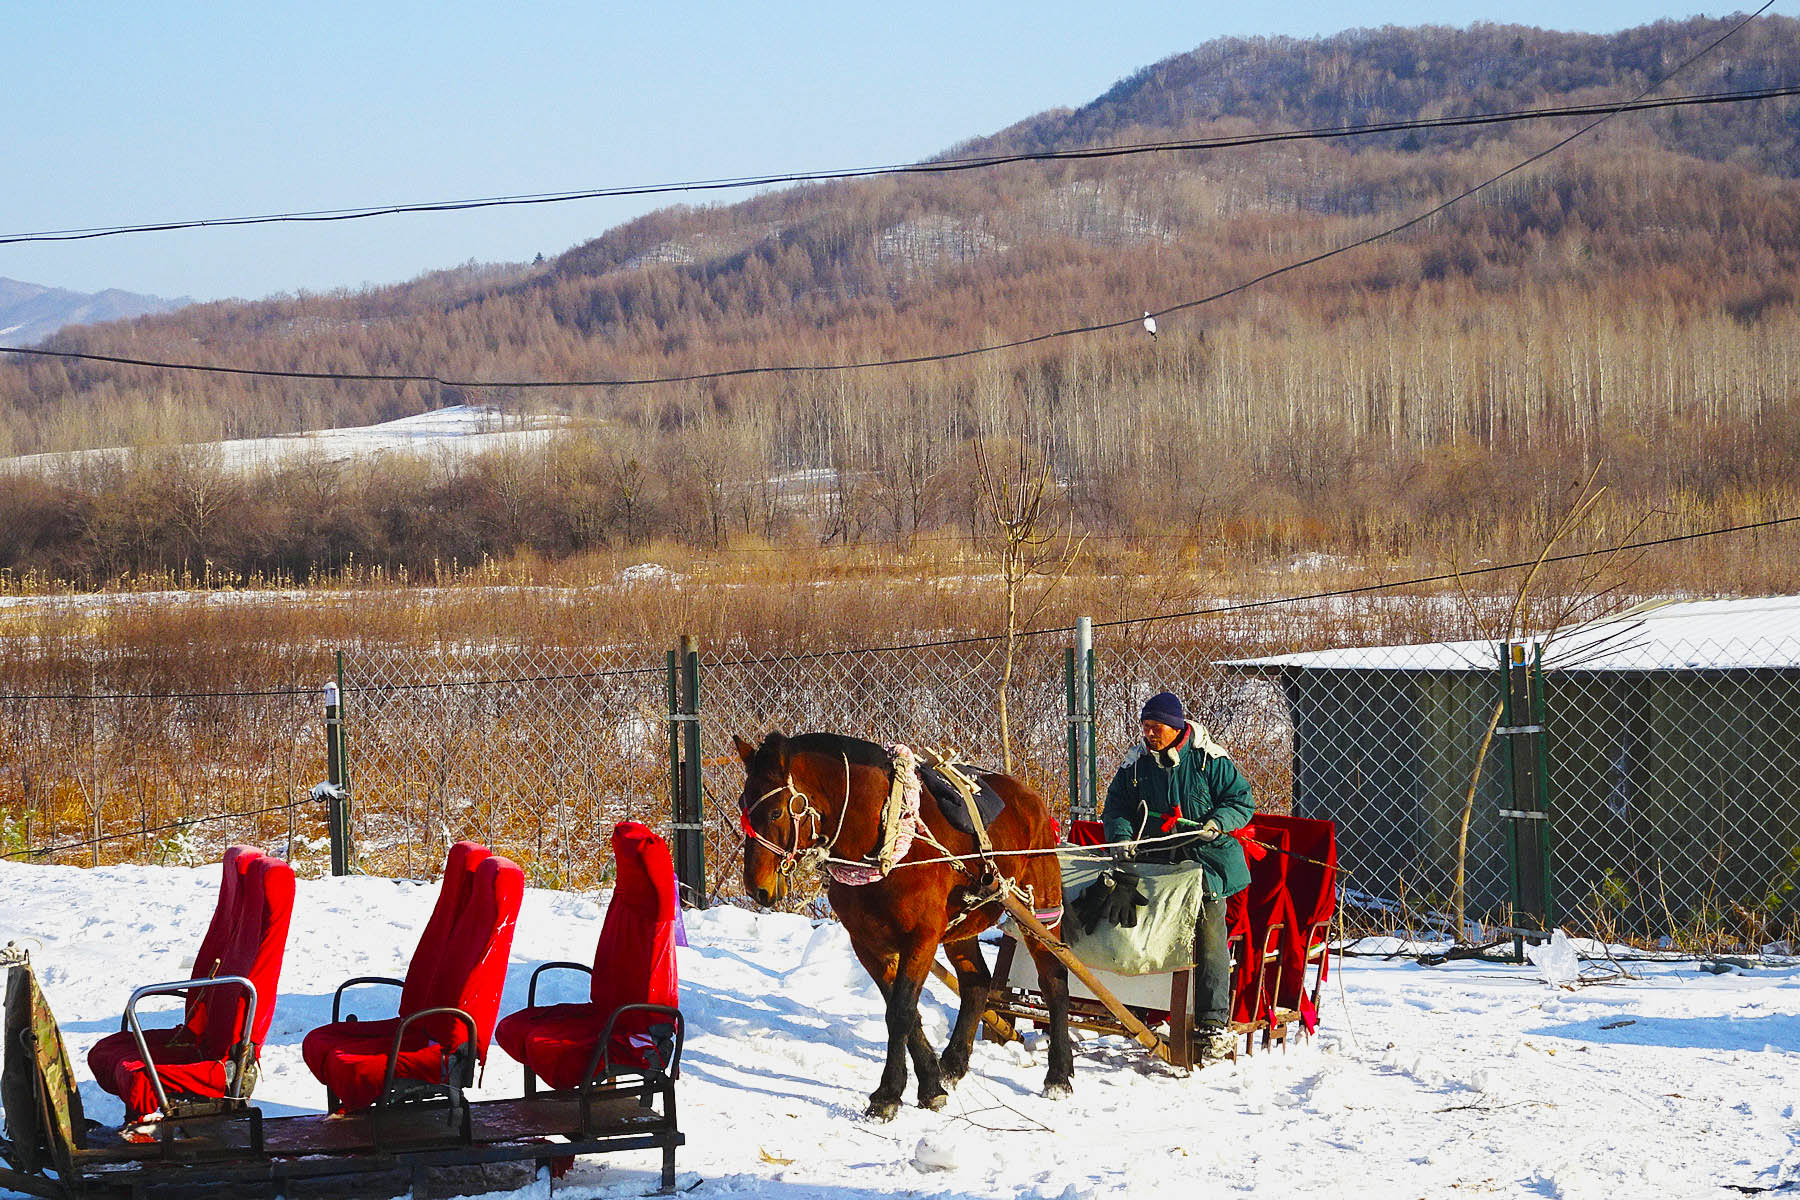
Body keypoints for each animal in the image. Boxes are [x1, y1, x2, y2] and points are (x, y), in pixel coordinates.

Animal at [730, 734, 1065, 1129]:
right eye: (743, 804)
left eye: (777, 812)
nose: (757, 887)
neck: (884, 842)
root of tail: (1031, 798)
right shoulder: (868, 944)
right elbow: (902, 1010)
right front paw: (932, 1084)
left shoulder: (921, 938)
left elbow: (901, 1012)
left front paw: (888, 1095)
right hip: (964, 927)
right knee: (976, 982)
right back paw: (953, 1063)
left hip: (1040, 911)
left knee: (1055, 981)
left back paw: (1059, 1076)